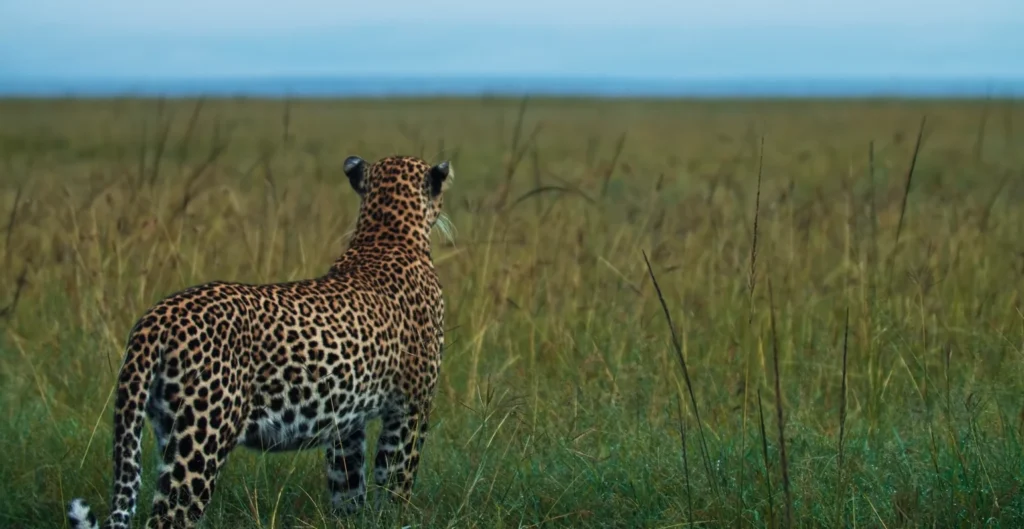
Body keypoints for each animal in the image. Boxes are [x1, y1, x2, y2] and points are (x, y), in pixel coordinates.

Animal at [67, 154, 455, 528]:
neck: (385, 235)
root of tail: (156, 319)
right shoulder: (411, 409)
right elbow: (396, 483)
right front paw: (395, 519)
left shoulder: (347, 424)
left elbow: (348, 488)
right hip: (201, 442)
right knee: (168, 517)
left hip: (168, 434)